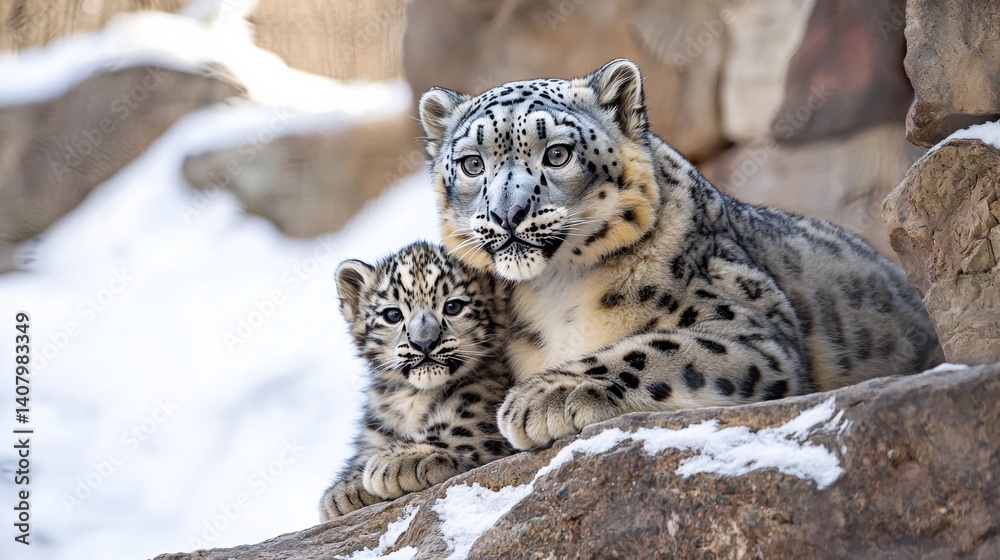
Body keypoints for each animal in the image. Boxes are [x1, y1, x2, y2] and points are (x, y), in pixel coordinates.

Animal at [319, 241, 514, 520]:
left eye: (453, 306)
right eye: (392, 314)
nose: (424, 342)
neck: (413, 398)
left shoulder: (480, 400)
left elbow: (460, 426)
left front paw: (400, 459)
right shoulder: (377, 425)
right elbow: (367, 447)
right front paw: (346, 488)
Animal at [417, 58, 944, 451]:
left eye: (558, 154)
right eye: (472, 164)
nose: (507, 213)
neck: (556, 286)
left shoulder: (750, 332)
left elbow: (656, 348)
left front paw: (542, 396)